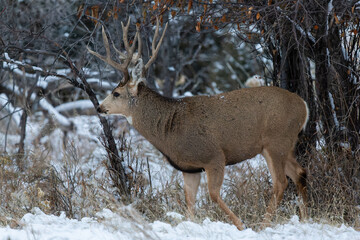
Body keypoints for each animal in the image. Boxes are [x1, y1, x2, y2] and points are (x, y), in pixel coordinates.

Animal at [88, 19, 310, 231]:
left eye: (116, 93)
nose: (99, 107)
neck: (169, 128)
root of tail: (304, 105)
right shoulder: (189, 168)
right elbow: (190, 203)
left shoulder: (214, 156)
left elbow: (213, 195)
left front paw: (241, 225)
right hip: (281, 145)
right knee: (300, 172)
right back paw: (305, 218)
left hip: (276, 140)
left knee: (281, 182)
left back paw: (264, 225)